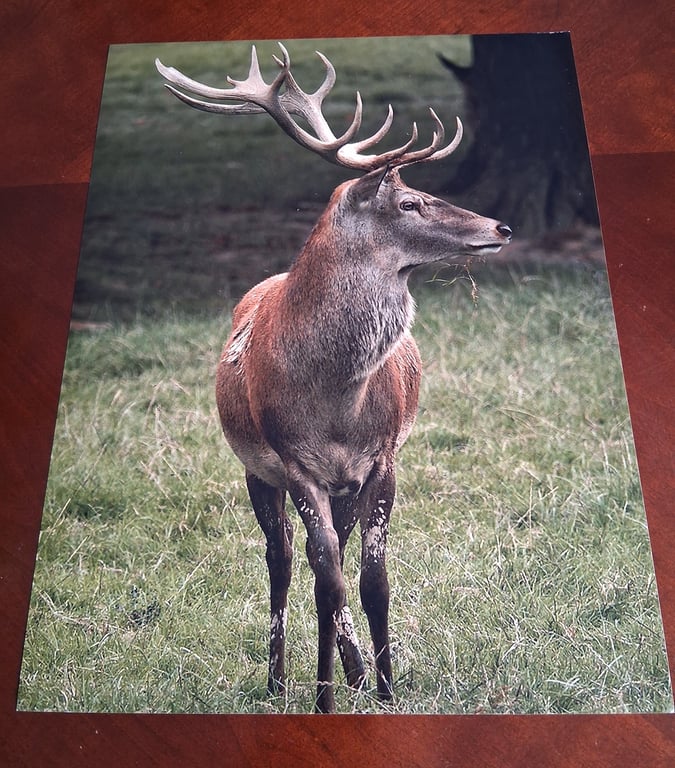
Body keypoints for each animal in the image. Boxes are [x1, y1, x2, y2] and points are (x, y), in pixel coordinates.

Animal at [156, 43, 512, 713]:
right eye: (409, 202)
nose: (500, 227)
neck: (337, 401)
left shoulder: (382, 459)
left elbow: (372, 581)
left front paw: (385, 689)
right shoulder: (296, 463)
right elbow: (327, 581)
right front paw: (328, 693)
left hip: (344, 485)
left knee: (332, 557)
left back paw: (346, 672)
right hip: (259, 471)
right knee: (284, 559)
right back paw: (279, 679)